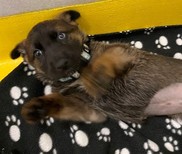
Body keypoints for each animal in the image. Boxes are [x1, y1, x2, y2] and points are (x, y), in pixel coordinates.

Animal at [10, 10, 182, 123]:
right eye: (37, 53)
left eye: (61, 36)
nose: (62, 64)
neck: (77, 74)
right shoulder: (90, 111)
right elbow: (64, 104)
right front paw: (40, 106)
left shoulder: (124, 52)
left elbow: (102, 62)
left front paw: (95, 79)